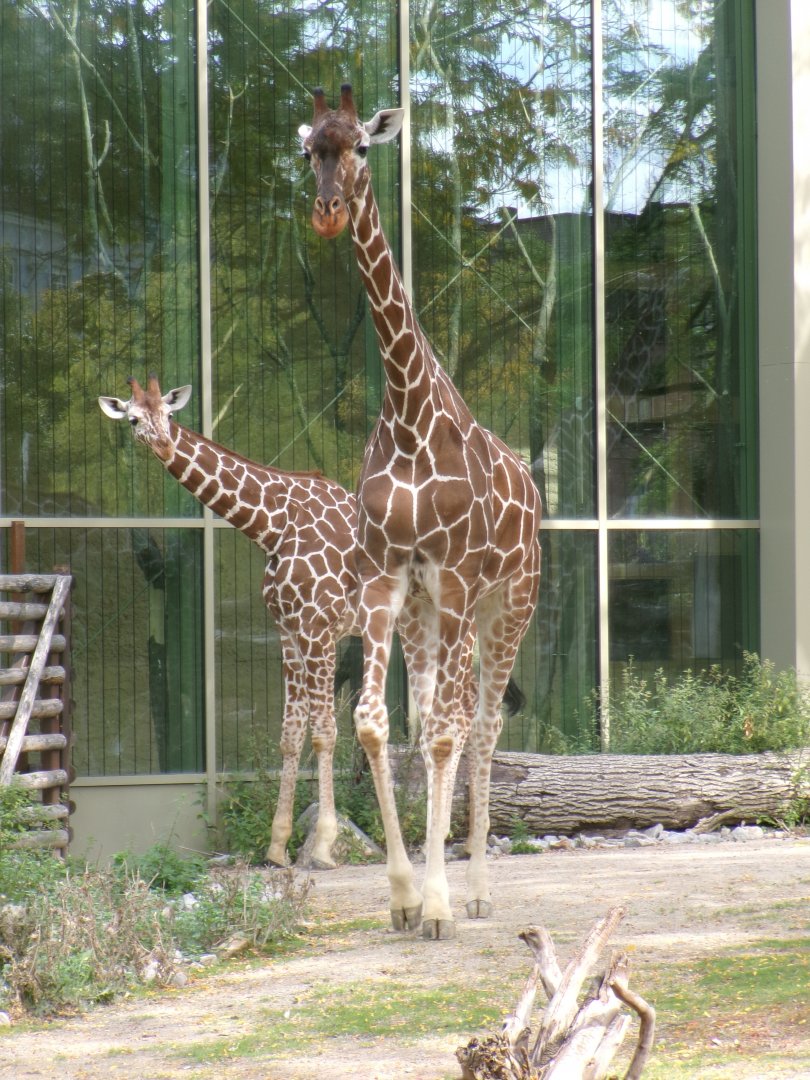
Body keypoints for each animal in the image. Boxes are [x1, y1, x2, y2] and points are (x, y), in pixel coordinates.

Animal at [299, 86, 543, 939]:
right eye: (310, 149)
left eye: (361, 148)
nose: (328, 212)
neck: (407, 412)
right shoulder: (386, 578)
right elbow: (376, 722)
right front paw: (404, 896)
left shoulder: (462, 579)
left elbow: (446, 733)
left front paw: (437, 902)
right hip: (425, 615)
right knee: (442, 713)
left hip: (508, 606)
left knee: (481, 726)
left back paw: (477, 891)